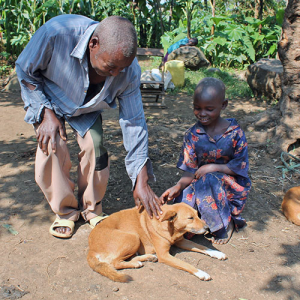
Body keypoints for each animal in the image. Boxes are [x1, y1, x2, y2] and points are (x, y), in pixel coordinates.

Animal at [86, 203, 227, 282]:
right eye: (190, 218)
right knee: (114, 263)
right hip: (133, 237)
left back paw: (148, 257)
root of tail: (91, 249)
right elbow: (186, 264)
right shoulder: (164, 255)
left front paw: (217, 253)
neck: (170, 227)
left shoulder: (181, 241)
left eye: (198, 215)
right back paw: (136, 263)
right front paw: (201, 273)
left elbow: (202, 247)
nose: (208, 228)